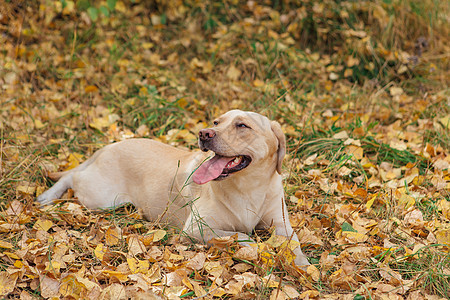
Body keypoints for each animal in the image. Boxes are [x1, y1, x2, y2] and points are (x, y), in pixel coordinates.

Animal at [37, 110, 310, 268]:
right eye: (216, 122)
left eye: (242, 125)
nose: (204, 133)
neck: (248, 187)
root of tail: (109, 146)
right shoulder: (199, 228)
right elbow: (243, 236)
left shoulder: (282, 223)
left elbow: (293, 242)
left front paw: (302, 264)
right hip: (102, 198)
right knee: (73, 176)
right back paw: (48, 195)